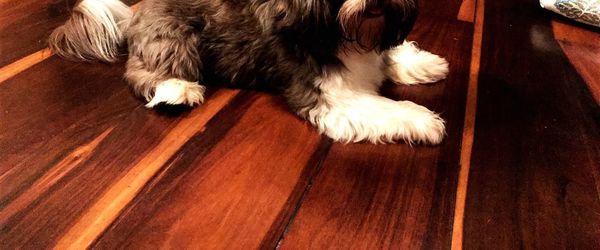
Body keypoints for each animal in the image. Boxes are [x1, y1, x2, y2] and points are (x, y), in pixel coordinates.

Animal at [49, 0, 448, 145]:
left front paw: (426, 63)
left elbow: (390, 56)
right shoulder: (328, 96)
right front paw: (424, 120)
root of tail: (134, 14)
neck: (344, 33)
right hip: (174, 38)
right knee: (143, 72)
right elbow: (383, 108)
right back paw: (177, 90)